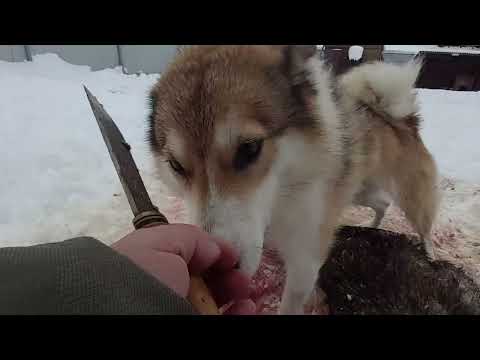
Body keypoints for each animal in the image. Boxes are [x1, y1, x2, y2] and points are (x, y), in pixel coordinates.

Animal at [146, 46, 438, 314]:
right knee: (381, 204)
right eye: (176, 165)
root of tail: (401, 119)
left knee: (423, 225)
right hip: (359, 191)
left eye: (250, 148)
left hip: (410, 196)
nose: (210, 273)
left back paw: (430, 253)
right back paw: (373, 226)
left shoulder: (304, 261)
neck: (280, 197)